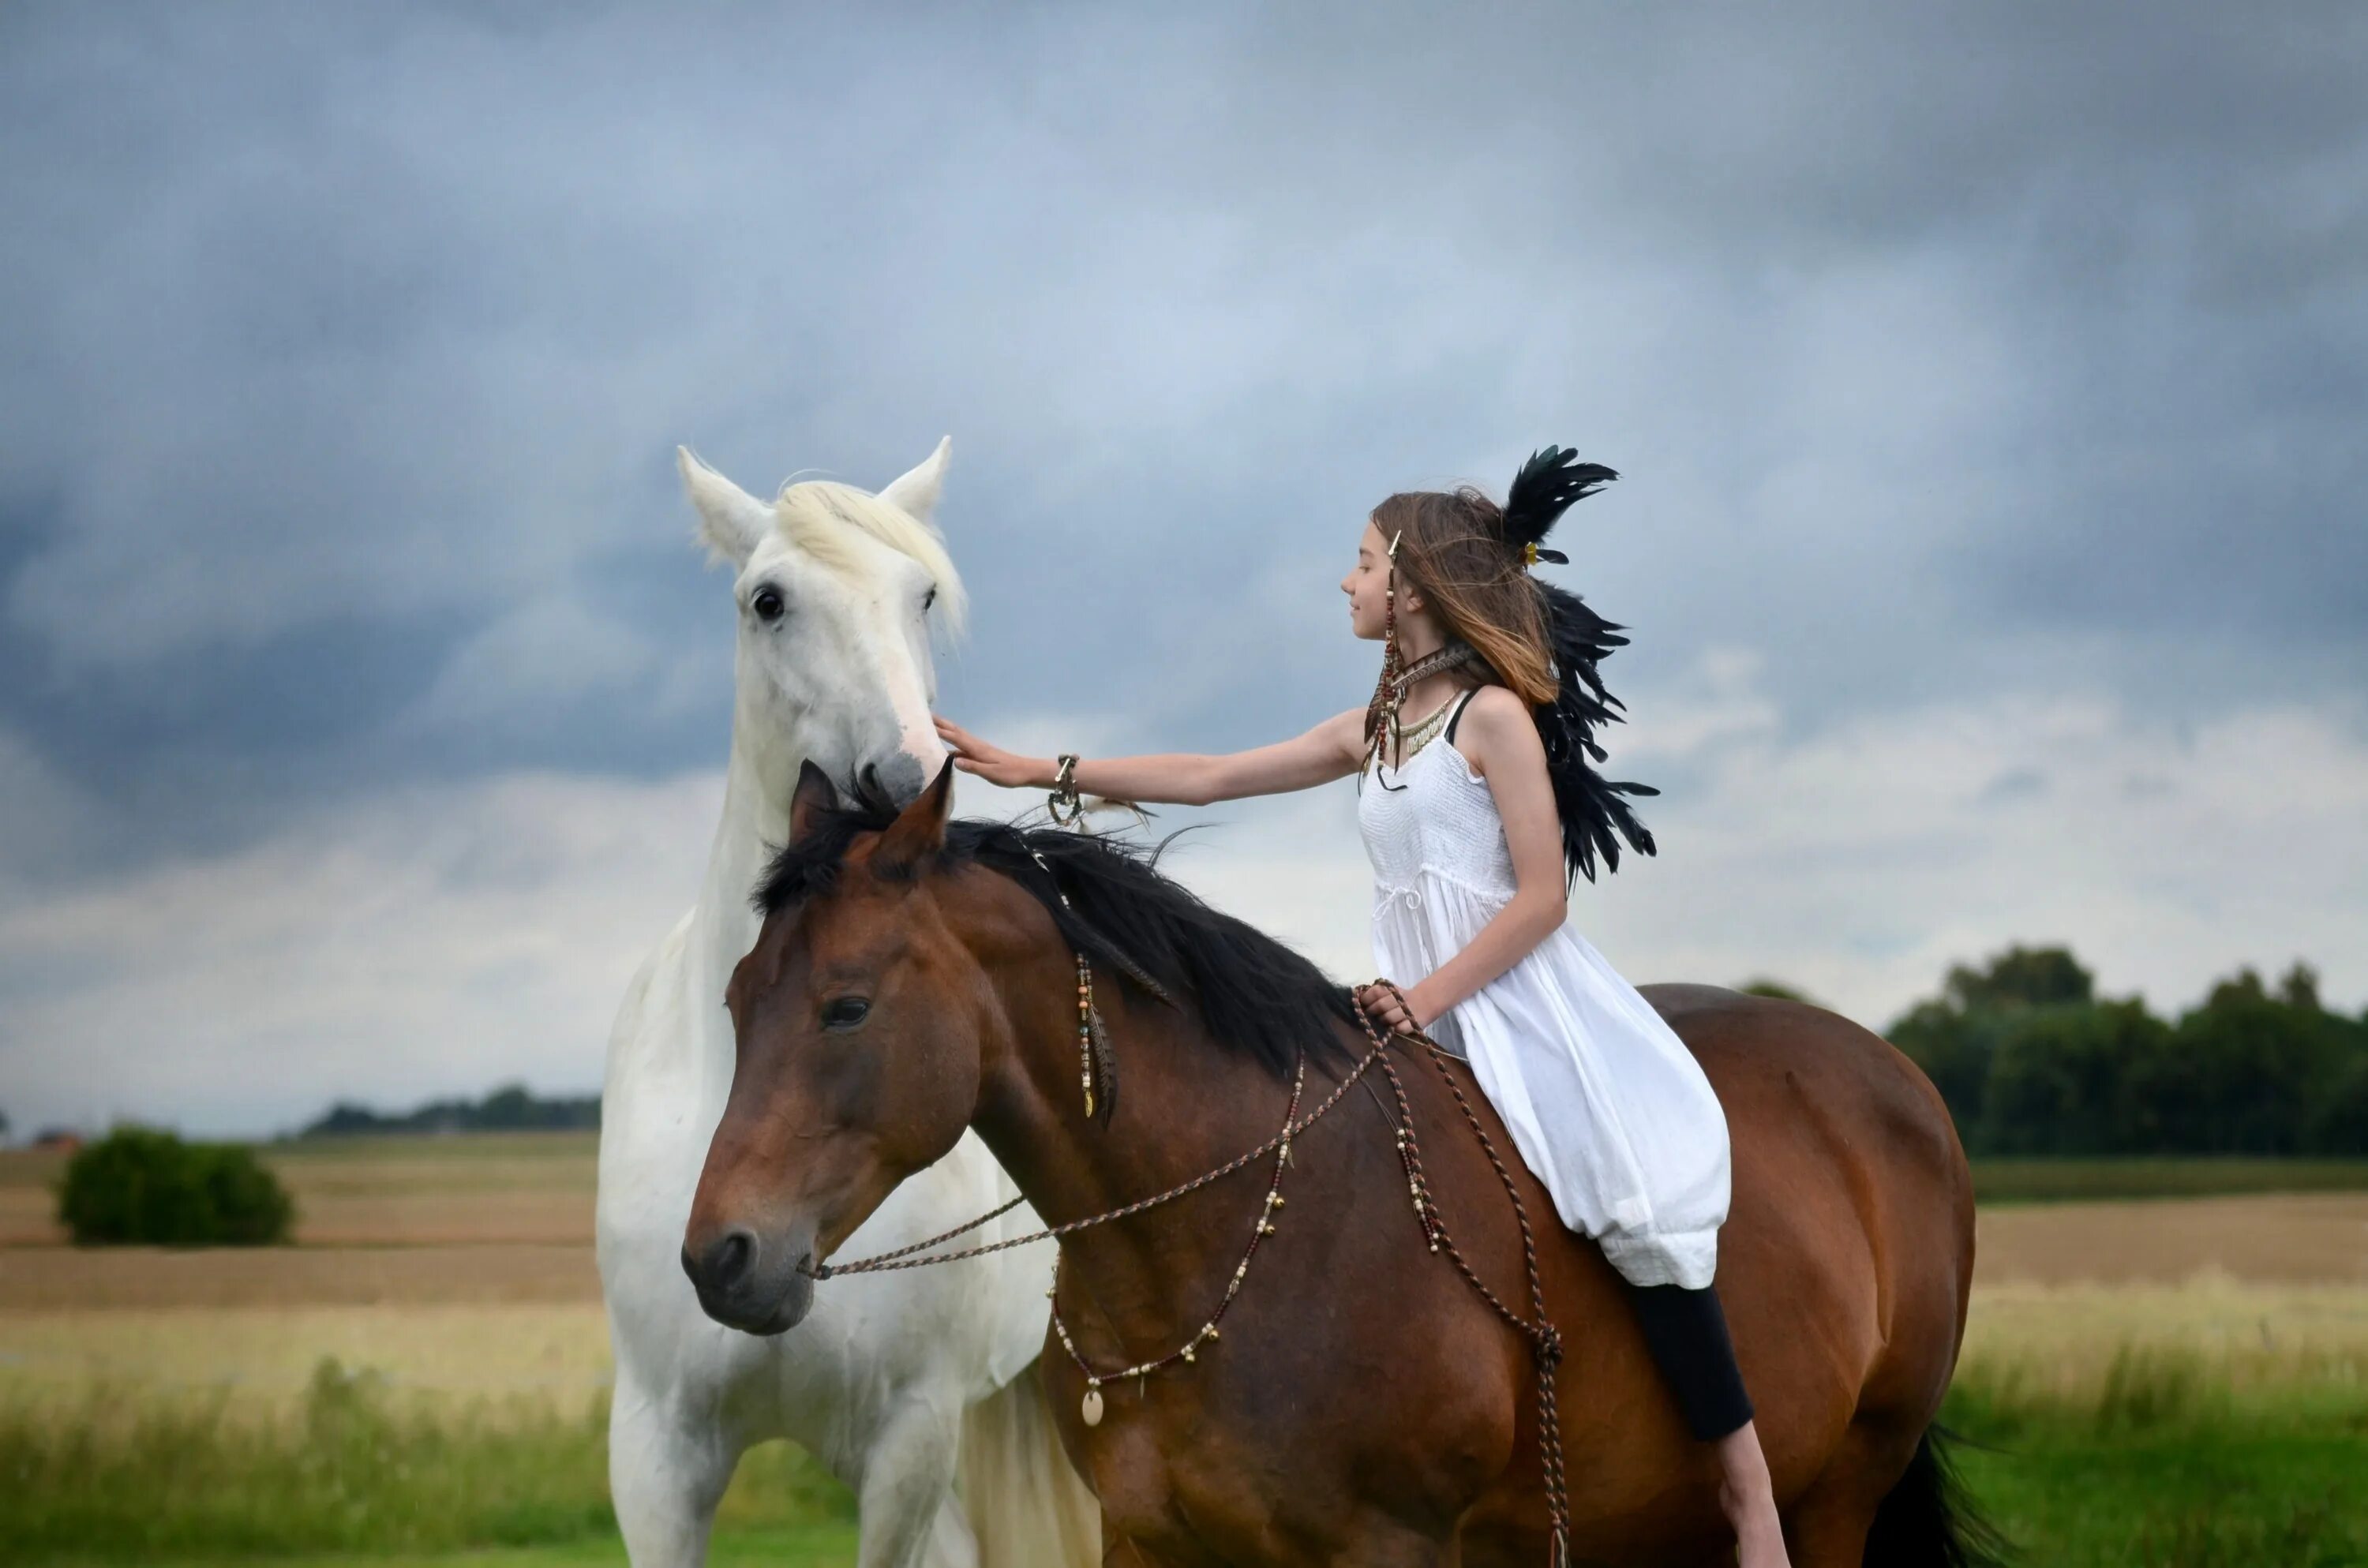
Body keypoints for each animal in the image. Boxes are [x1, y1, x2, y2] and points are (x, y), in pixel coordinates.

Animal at [687, 758, 1999, 1562]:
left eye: (847, 1006)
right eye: (739, 996)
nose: (719, 1257)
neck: (1222, 1242)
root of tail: (1898, 1080)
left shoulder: (1392, 1543)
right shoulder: (1147, 1542)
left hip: (1836, 1496)